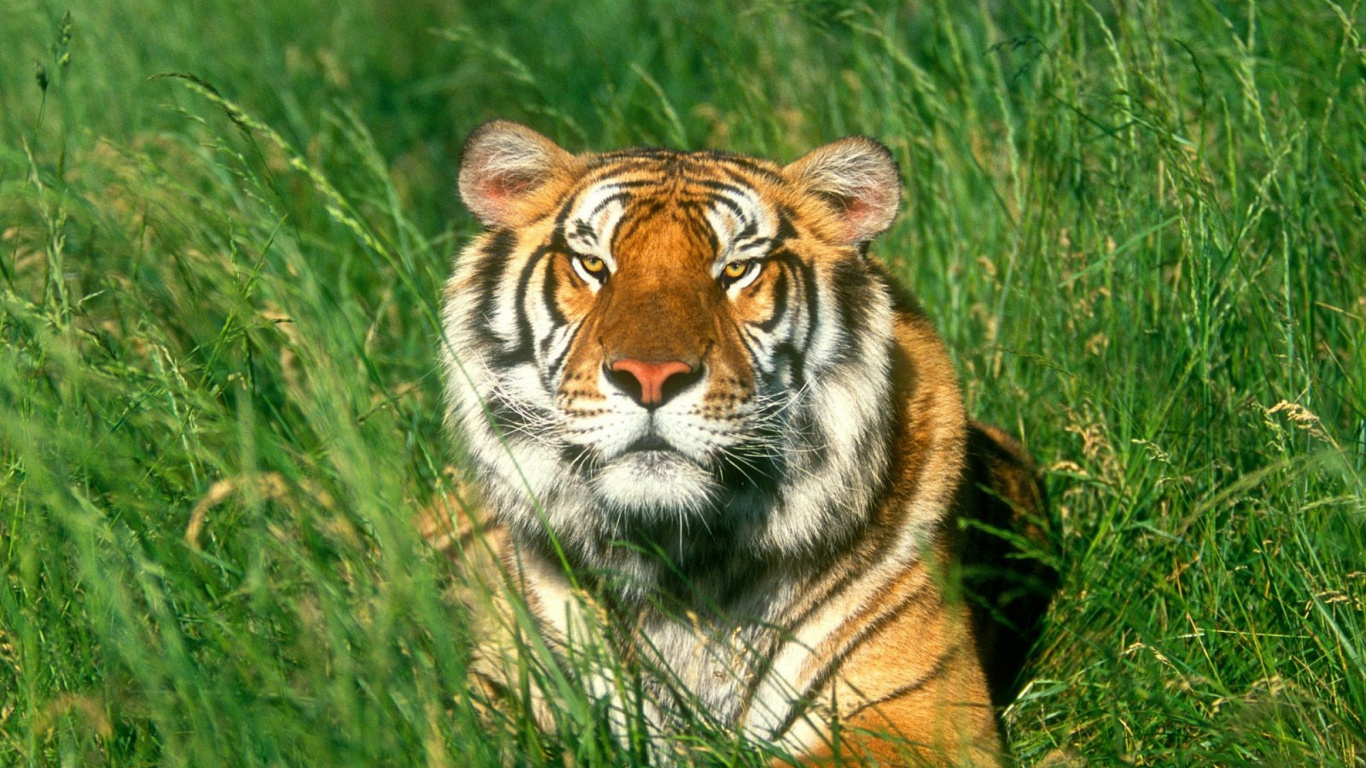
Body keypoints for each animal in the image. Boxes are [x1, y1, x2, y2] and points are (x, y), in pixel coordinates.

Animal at [436, 120, 1055, 767]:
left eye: (736, 270)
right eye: (592, 264)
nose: (649, 376)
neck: (676, 560)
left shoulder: (922, 718)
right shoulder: (501, 690)